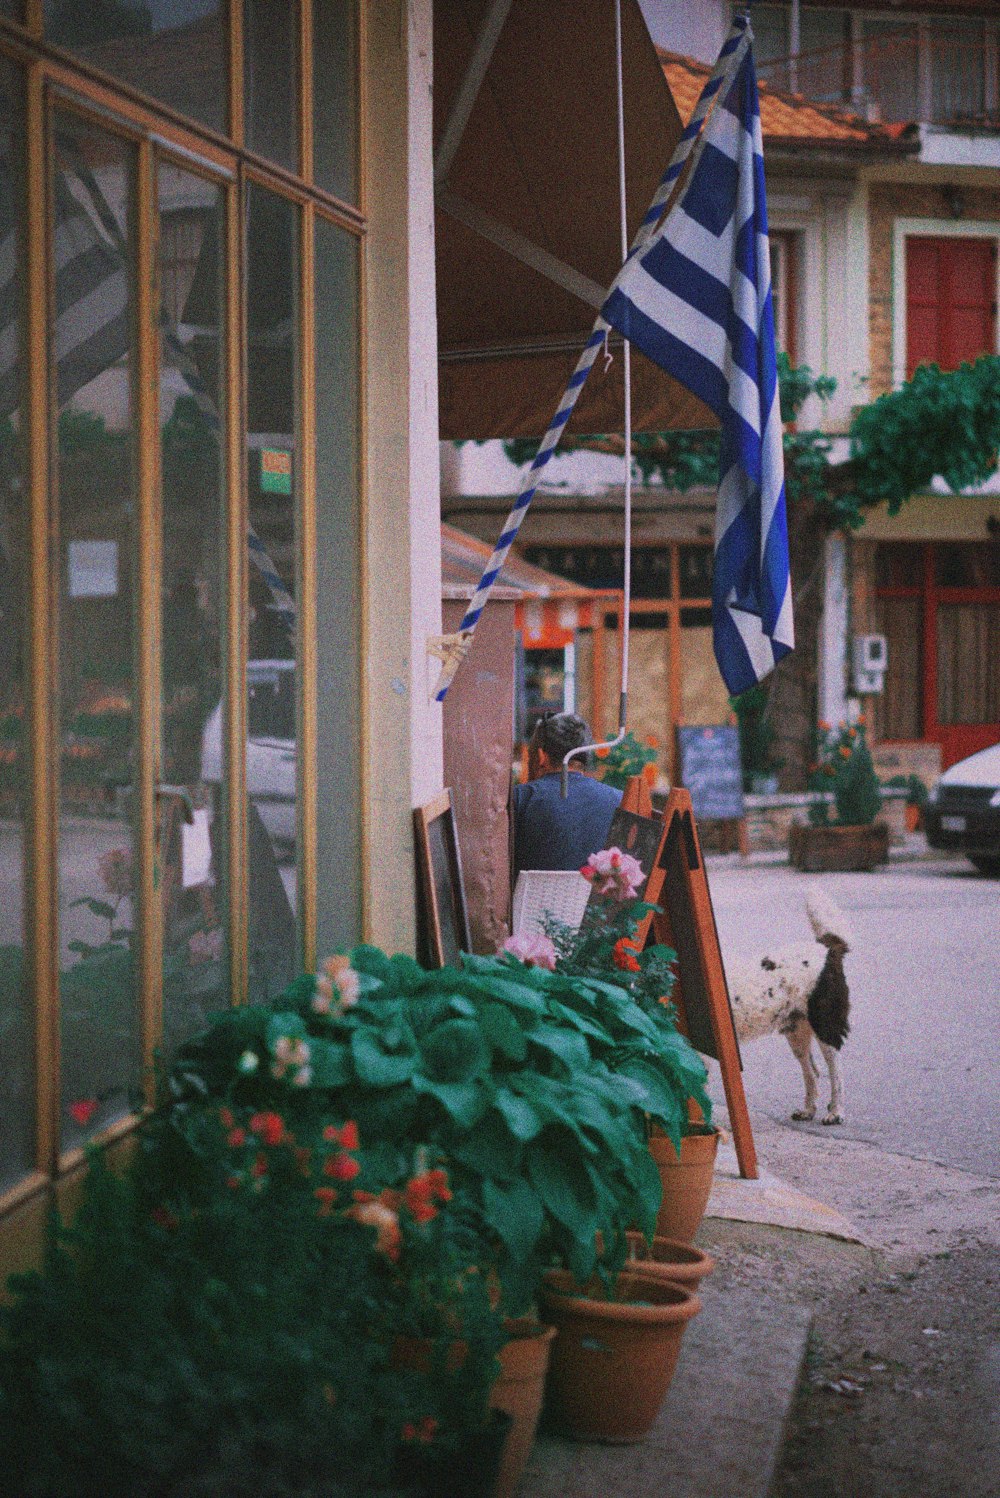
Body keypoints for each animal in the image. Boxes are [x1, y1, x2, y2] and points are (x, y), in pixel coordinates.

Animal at [721, 886, 856, 1126]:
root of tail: (826, 948)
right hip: (797, 1032)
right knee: (812, 1071)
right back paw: (808, 1110)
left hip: (825, 1026)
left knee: (835, 1071)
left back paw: (836, 1112)